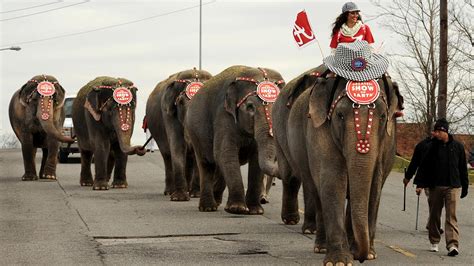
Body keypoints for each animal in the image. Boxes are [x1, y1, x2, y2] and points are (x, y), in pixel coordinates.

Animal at [144, 67, 211, 201]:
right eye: (180, 102)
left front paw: (196, 195)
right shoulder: (169, 113)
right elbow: (177, 145)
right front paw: (179, 198)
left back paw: (190, 191)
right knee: (167, 156)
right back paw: (170, 192)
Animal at [185, 65, 286, 215]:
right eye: (250, 107)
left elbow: (256, 160)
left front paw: (256, 211)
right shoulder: (223, 116)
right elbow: (225, 152)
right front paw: (237, 209)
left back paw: (217, 202)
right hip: (195, 132)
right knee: (206, 164)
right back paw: (208, 207)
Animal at [272, 68, 402, 264]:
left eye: (382, 116)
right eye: (340, 115)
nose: (360, 257)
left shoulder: (386, 141)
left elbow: (374, 185)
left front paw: (369, 255)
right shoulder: (319, 130)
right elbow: (333, 180)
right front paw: (339, 261)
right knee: (311, 188)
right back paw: (320, 246)